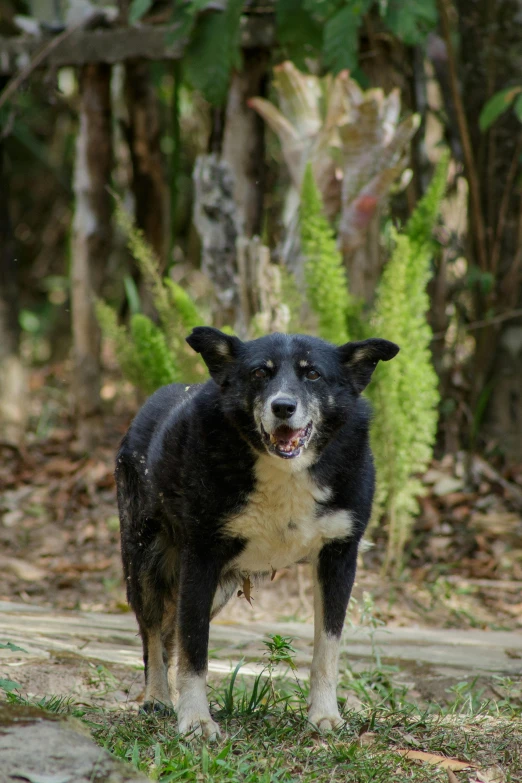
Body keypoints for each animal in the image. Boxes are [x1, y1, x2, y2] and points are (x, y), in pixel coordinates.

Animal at [116, 326, 396, 740]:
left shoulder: (339, 558)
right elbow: (194, 650)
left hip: (218, 588)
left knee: (168, 635)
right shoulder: (200, 558)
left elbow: (326, 650)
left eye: (313, 374)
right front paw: (196, 720)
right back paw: (156, 697)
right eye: (260, 373)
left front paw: (324, 715)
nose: (283, 407)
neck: (285, 472)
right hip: (146, 564)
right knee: (153, 633)